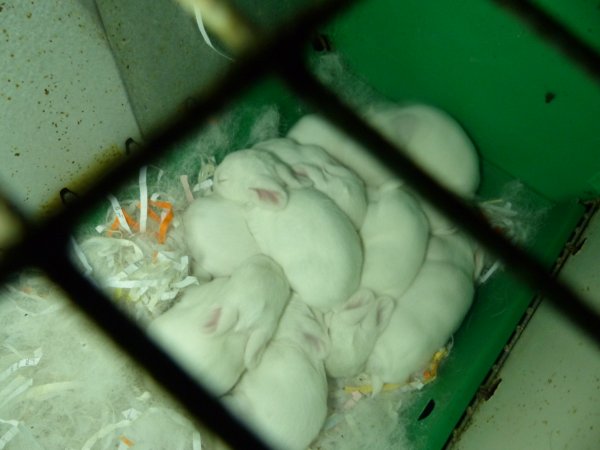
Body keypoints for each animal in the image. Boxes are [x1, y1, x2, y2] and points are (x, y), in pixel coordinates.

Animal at [149, 255, 292, 396]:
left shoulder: (204, 289)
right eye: (283, 287)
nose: (271, 261)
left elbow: (199, 281)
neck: (237, 328)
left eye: (255, 266)